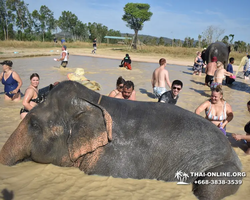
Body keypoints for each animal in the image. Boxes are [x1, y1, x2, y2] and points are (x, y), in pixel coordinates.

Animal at [0, 80, 242, 199]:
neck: (94, 103)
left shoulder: (113, 161)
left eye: (34, 124)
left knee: (207, 190)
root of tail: (234, 153)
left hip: (225, 172)